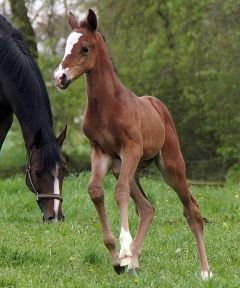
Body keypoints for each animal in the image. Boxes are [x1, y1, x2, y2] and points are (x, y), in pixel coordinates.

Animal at [54, 9, 212, 280]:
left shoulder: (130, 149)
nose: (59, 78)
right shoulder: (100, 152)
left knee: (191, 209)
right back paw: (132, 263)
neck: (107, 105)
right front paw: (117, 257)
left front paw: (125, 250)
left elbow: (119, 192)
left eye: (85, 48)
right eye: (65, 47)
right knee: (147, 207)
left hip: (170, 166)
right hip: (124, 168)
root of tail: (158, 106)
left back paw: (204, 271)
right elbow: (96, 191)